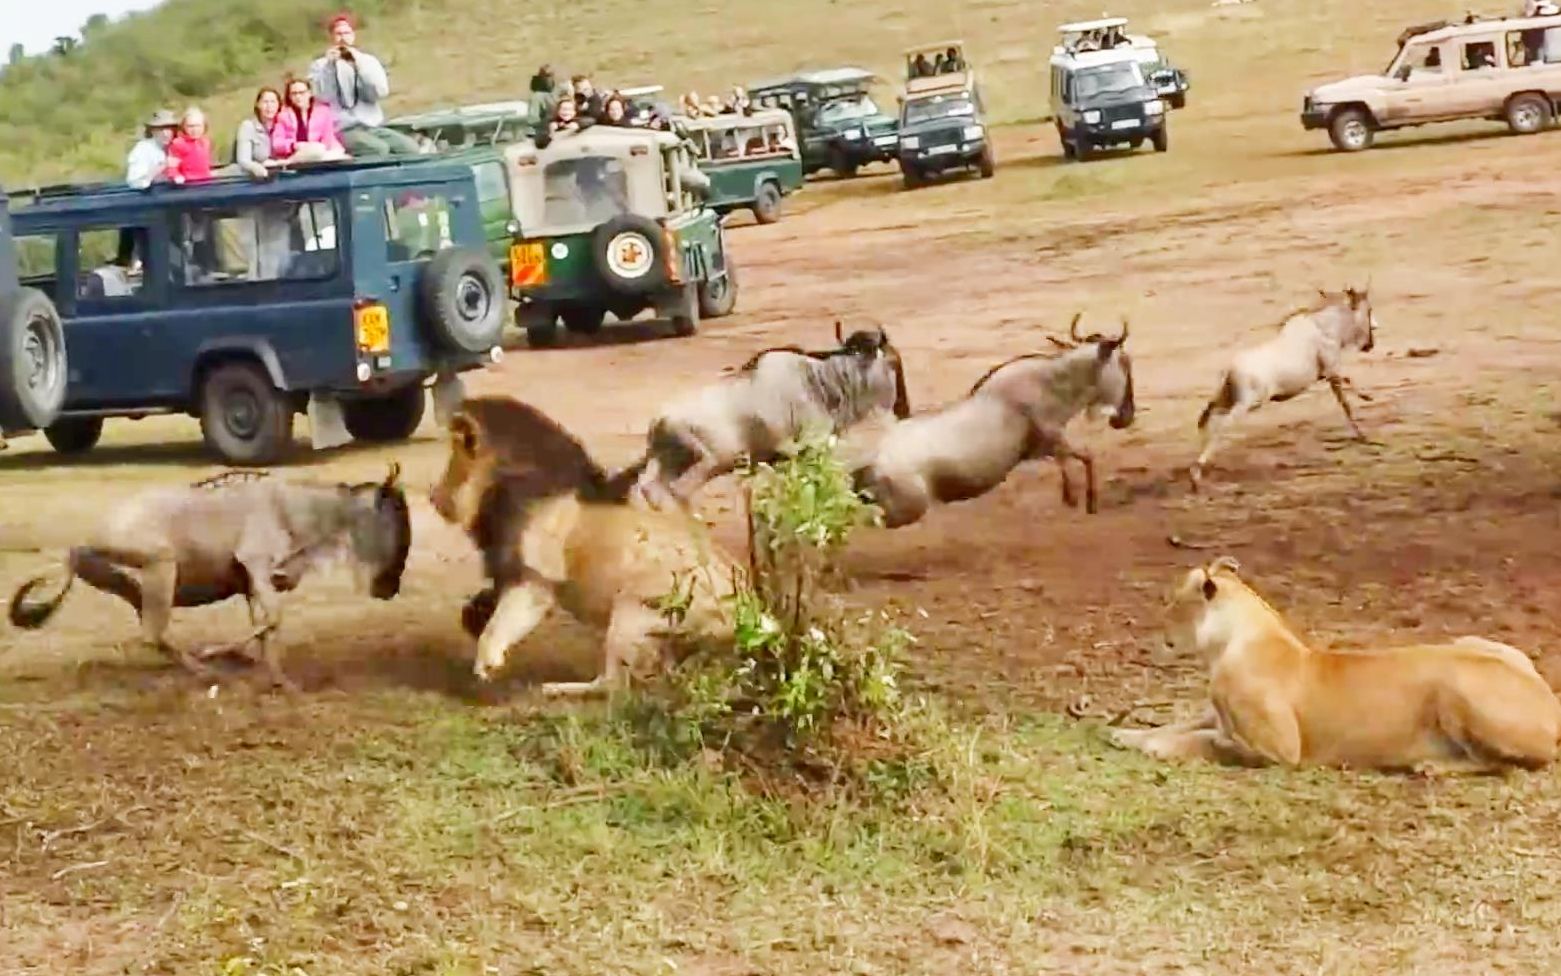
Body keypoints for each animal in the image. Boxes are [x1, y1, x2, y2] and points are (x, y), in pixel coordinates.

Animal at [427, 393, 743, 693]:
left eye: (455, 455)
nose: (433, 497)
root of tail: (739, 620)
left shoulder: (534, 579)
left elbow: (497, 627)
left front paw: (486, 666)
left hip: (631, 611)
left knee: (614, 684)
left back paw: (554, 688)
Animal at [1111, 559, 1561, 771]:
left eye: (1172, 602)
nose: (1157, 631)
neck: (1228, 643)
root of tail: (1550, 701)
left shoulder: (1282, 749)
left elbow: (1209, 742)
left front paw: (1157, 746)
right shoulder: (1217, 715)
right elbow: (1182, 724)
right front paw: (1126, 734)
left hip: (1456, 686)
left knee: (1515, 763)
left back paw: (1431, 765)